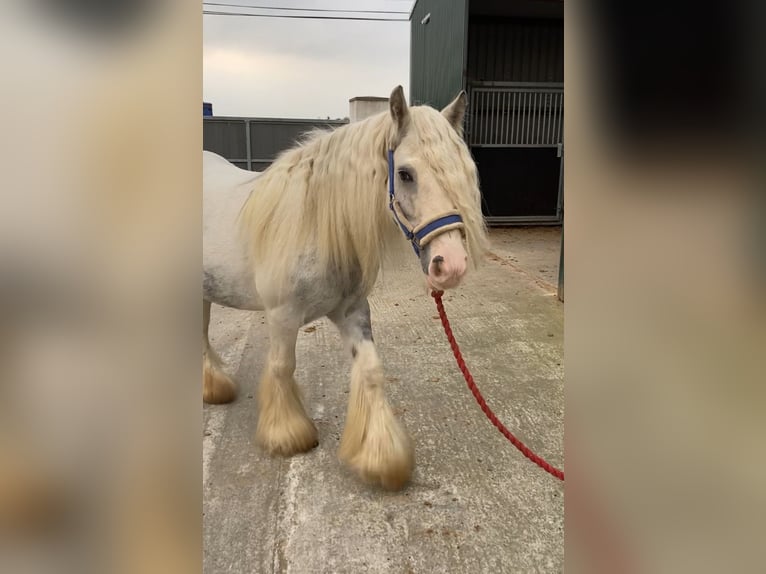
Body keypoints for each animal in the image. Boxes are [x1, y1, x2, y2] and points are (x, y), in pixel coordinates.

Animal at [204, 85, 488, 490]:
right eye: (405, 174)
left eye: (462, 172)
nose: (451, 265)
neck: (314, 224)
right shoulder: (282, 316)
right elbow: (281, 367)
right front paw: (287, 435)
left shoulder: (352, 311)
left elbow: (370, 369)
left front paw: (381, 457)